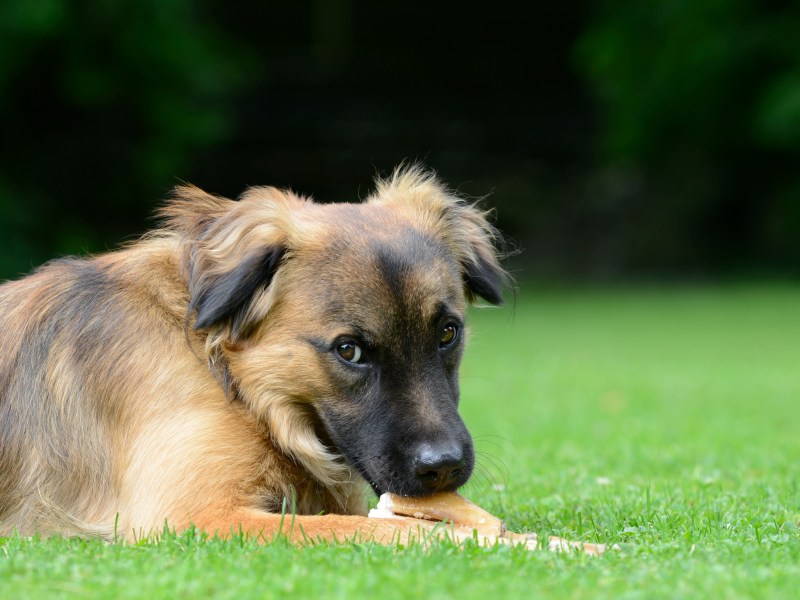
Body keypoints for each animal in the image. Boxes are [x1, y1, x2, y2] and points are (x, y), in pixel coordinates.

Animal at [0, 165, 510, 544]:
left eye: (447, 334)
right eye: (349, 350)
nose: (442, 467)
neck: (231, 378)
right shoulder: (191, 516)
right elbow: (368, 530)